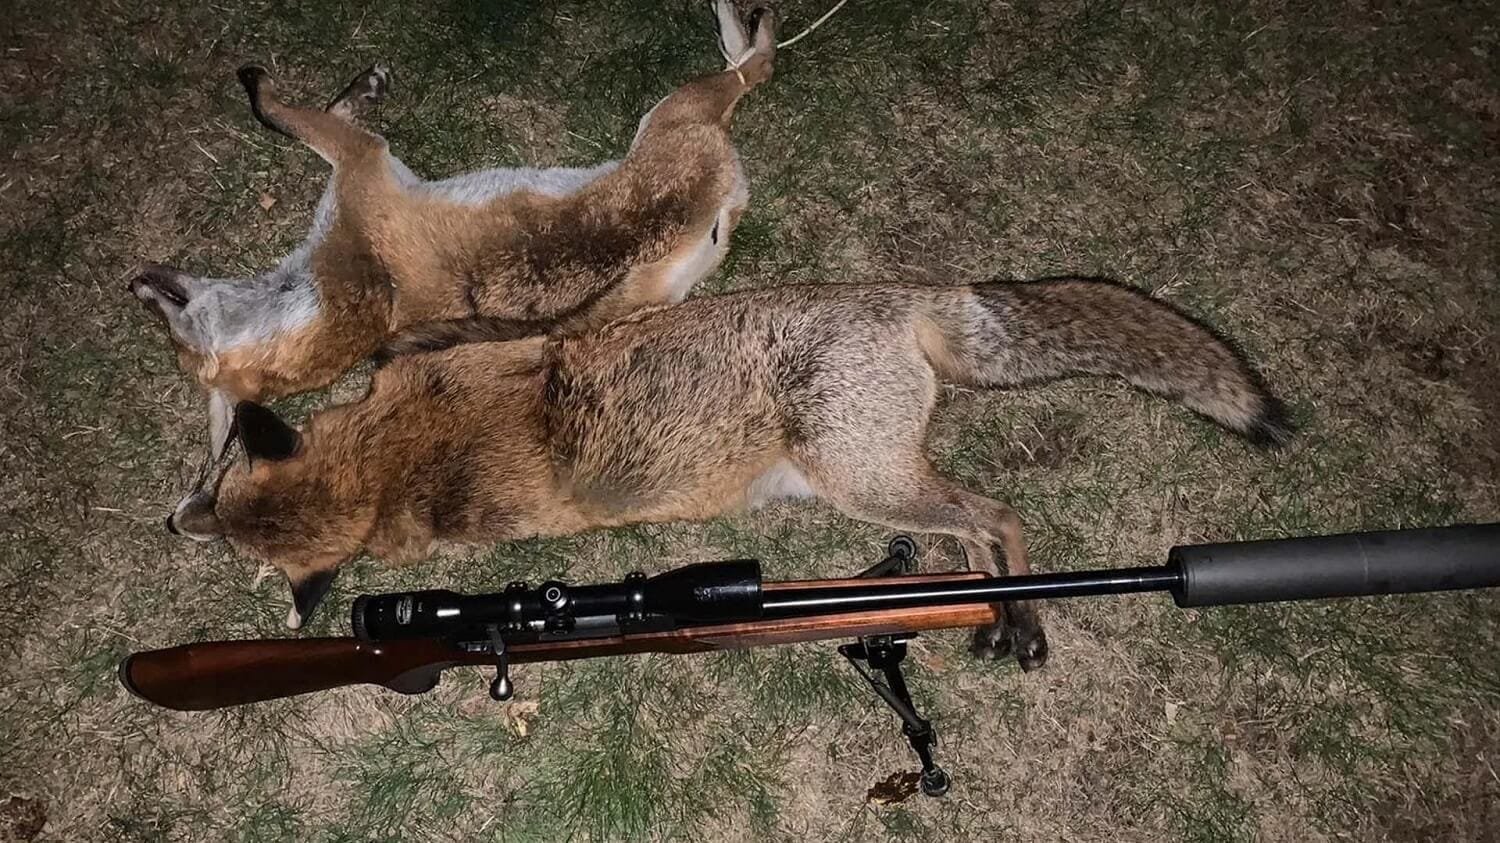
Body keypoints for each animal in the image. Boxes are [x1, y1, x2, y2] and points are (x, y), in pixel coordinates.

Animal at [128, 0, 775, 468]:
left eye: (171, 325)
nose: (135, 281)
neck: (352, 295)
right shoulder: (363, 159)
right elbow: (280, 112)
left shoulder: (359, 159)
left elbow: (287, 113)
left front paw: (356, 89)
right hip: (675, 114)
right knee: (752, 69)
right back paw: (748, 25)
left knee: (749, 69)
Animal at [168, 279, 1292, 671]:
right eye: (217, 493)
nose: (177, 523)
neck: (388, 452)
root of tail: (905, 292)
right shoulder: (426, 352)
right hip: (857, 484)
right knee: (969, 536)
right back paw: (995, 615)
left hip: (865, 480)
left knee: (998, 518)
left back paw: (1021, 620)